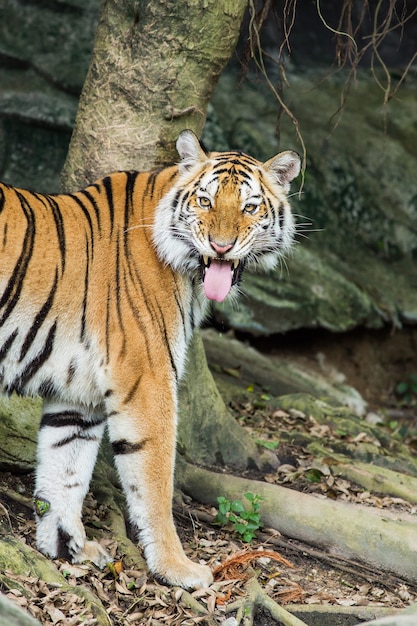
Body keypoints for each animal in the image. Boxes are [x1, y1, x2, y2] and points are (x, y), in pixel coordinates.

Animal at [0, 129, 300, 588]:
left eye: (249, 207)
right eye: (205, 201)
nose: (221, 246)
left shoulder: (78, 393)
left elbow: (65, 471)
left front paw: (67, 548)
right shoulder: (147, 378)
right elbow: (154, 479)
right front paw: (178, 567)